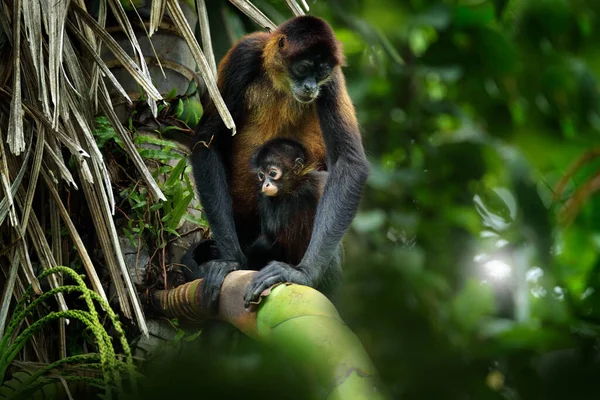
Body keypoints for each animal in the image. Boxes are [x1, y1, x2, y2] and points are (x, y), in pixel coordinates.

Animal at [243, 139, 338, 298]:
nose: (265, 184)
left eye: (272, 173)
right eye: (261, 176)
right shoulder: (263, 196)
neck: (292, 189)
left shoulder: (315, 181)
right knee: (265, 243)